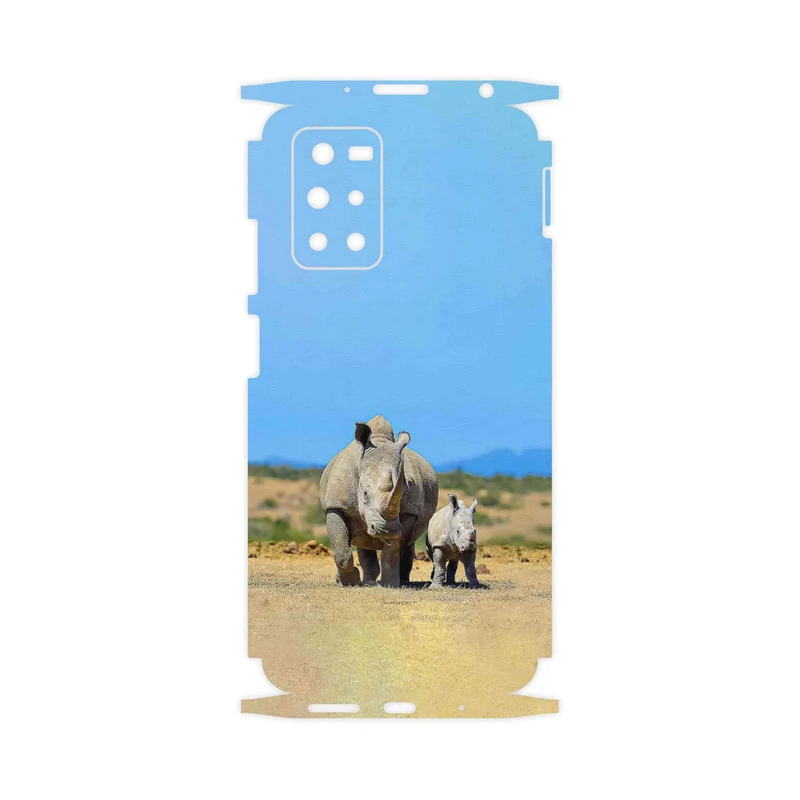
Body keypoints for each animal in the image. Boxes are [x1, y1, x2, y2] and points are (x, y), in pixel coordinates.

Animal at [319, 415, 439, 587]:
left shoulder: (408, 512)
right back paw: (367, 582)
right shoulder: (336, 505)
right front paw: (349, 582)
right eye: (365, 494)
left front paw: (390, 584)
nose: (386, 530)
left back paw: (401, 581)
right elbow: (341, 549)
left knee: (407, 544)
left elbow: (392, 550)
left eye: (400, 495)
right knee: (363, 540)